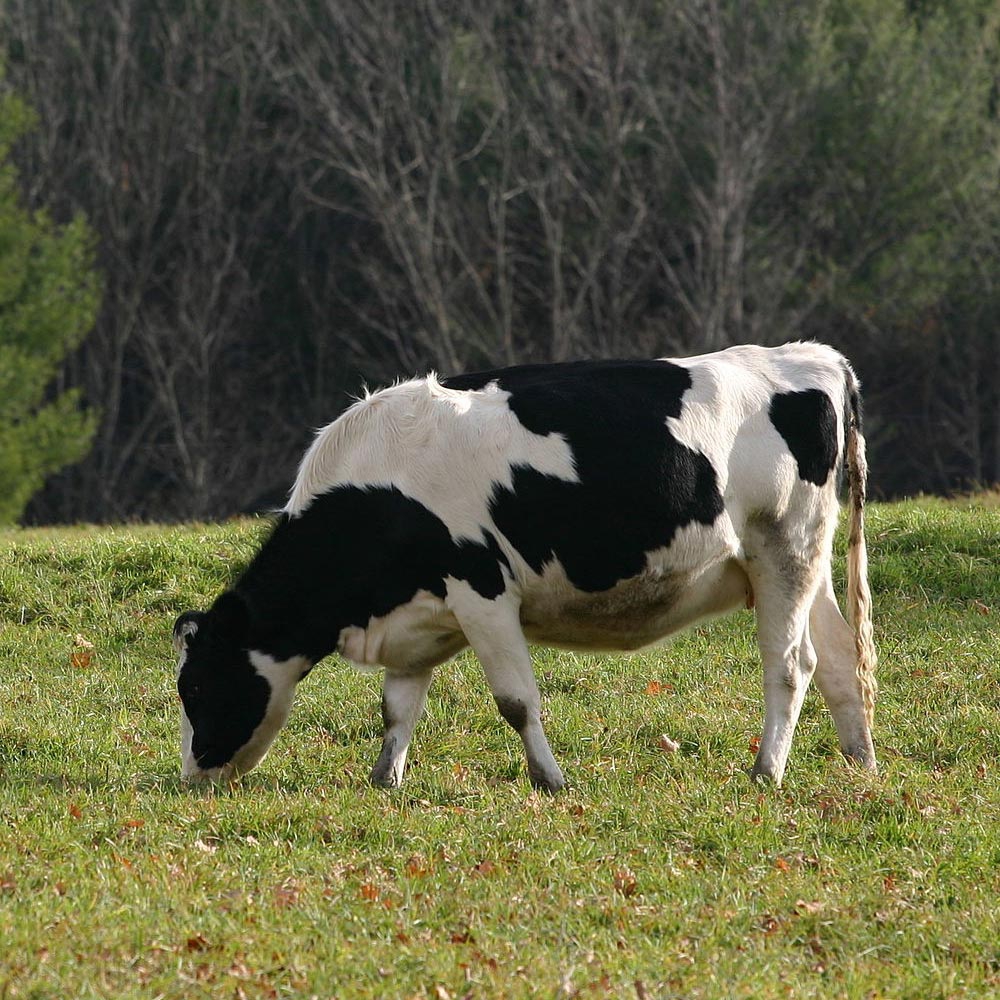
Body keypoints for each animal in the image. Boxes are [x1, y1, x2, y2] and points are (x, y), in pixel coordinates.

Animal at [176, 342, 880, 788]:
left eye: (195, 687)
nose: (192, 775)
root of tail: (814, 356)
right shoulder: (417, 615)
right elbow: (398, 706)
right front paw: (384, 780)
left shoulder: (482, 592)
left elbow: (515, 700)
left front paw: (550, 780)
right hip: (806, 560)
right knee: (838, 658)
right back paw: (861, 762)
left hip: (783, 549)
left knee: (790, 664)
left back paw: (766, 772)